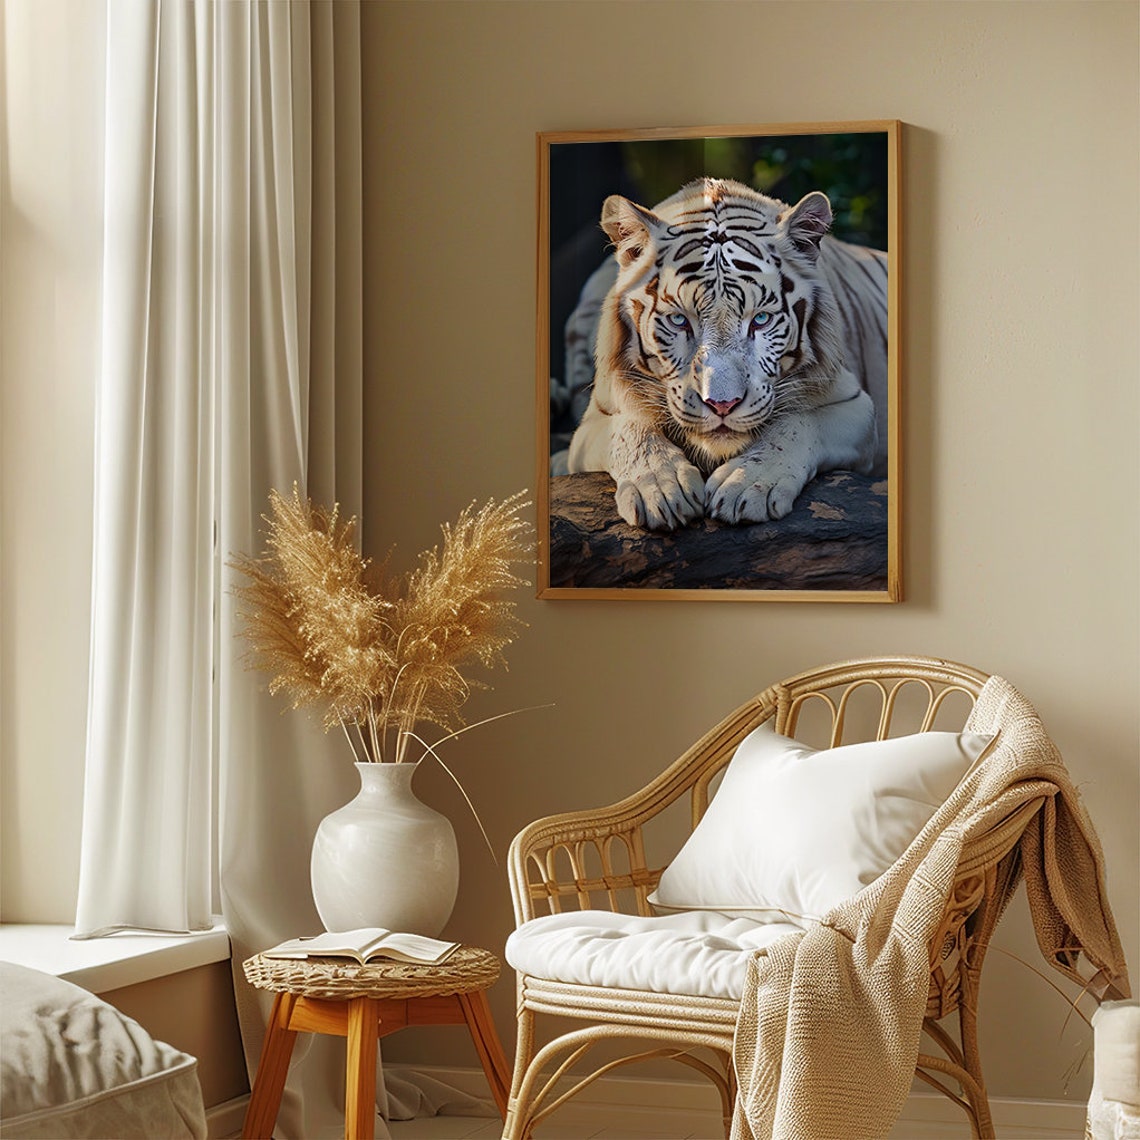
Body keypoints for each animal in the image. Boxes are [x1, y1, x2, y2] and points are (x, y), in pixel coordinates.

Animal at [562, 177, 888, 531]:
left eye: (761, 319)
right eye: (680, 320)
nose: (722, 405)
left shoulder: (856, 408)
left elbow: (798, 423)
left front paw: (746, 484)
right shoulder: (592, 424)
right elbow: (631, 430)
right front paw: (663, 490)